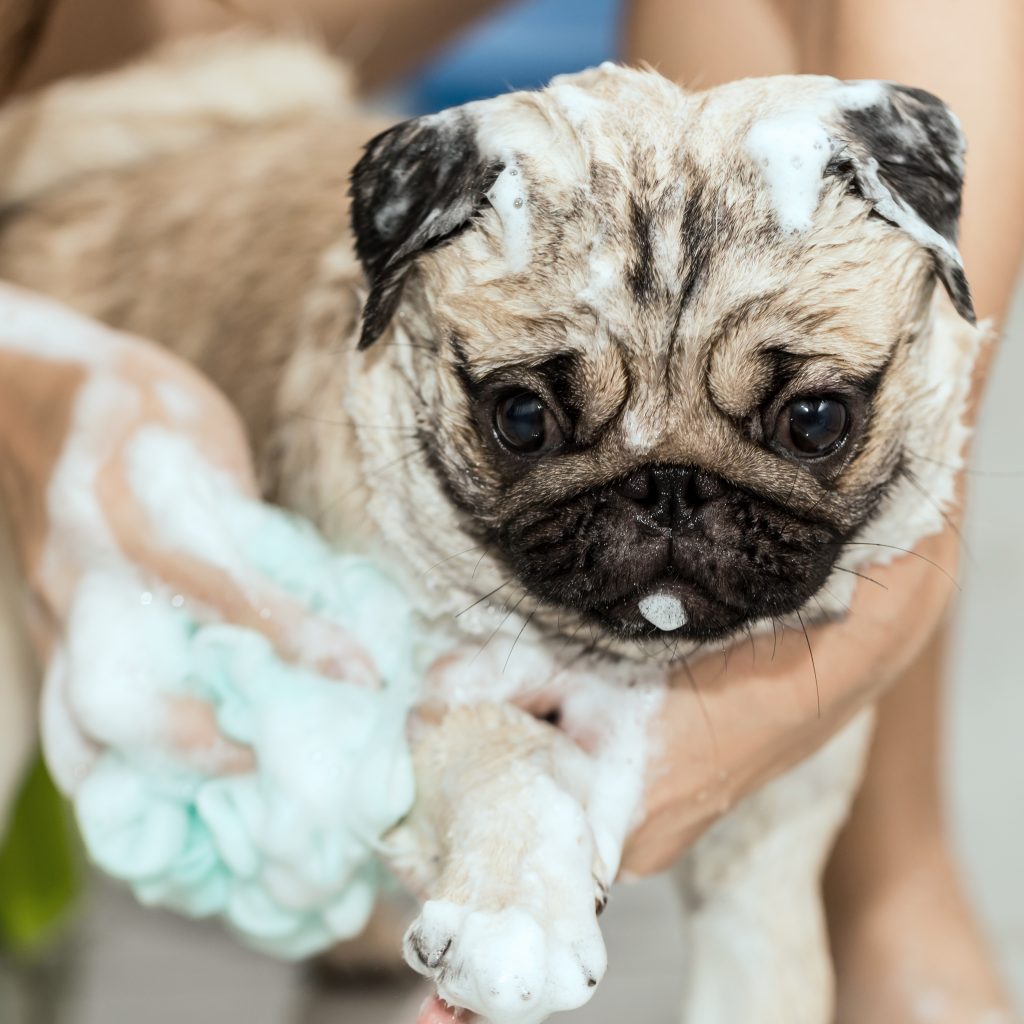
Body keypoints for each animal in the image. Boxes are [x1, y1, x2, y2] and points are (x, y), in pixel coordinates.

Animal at [0, 32, 978, 1024]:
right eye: (523, 420)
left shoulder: (762, 865)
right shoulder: (399, 691)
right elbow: (505, 748)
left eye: (815, 421)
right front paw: (518, 912)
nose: (668, 486)